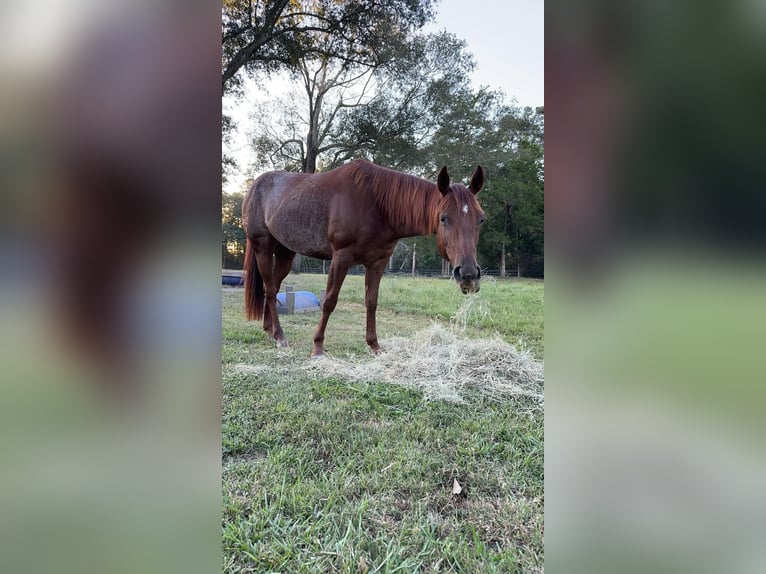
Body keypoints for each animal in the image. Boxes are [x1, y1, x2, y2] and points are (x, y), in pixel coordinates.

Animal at [243, 158, 486, 356]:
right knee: (270, 290)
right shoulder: (341, 258)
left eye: (481, 219)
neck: (376, 204)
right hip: (263, 247)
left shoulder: (377, 262)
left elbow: (371, 301)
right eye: (443, 218)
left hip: (285, 253)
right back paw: (280, 337)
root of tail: (255, 186)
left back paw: (270, 330)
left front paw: (374, 345)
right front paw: (318, 346)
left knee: (272, 287)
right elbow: (329, 301)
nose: (468, 275)